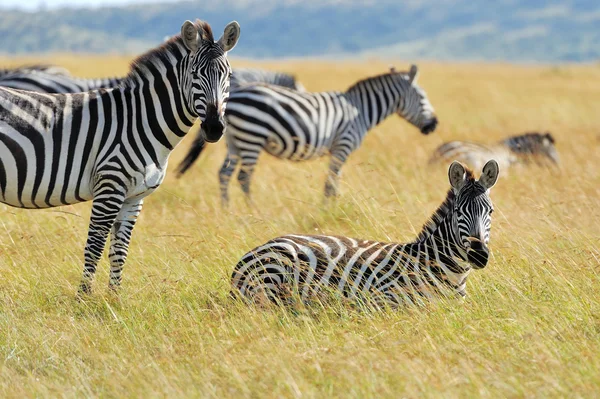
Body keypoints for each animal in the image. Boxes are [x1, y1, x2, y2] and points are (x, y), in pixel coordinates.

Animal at [2, 18, 241, 294]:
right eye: (194, 74)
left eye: (229, 76)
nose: (214, 128)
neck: (139, 121)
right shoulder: (109, 187)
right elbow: (94, 248)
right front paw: (83, 299)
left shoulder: (134, 198)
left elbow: (119, 252)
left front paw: (114, 299)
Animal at [176, 65, 438, 205]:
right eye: (422, 97)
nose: (434, 125)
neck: (361, 110)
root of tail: (230, 100)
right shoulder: (343, 145)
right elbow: (331, 181)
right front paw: (329, 208)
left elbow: (333, 181)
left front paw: (333, 207)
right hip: (252, 138)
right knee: (243, 177)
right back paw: (252, 210)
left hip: (234, 142)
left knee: (224, 174)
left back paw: (226, 209)